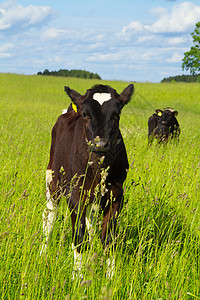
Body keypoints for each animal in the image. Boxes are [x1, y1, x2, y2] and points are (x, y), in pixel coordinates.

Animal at [41, 83, 134, 278]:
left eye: (116, 114)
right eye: (85, 114)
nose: (101, 144)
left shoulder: (116, 195)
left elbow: (109, 238)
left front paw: (110, 277)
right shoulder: (75, 194)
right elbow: (79, 237)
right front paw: (77, 277)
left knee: (91, 223)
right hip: (52, 180)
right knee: (49, 217)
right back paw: (43, 254)